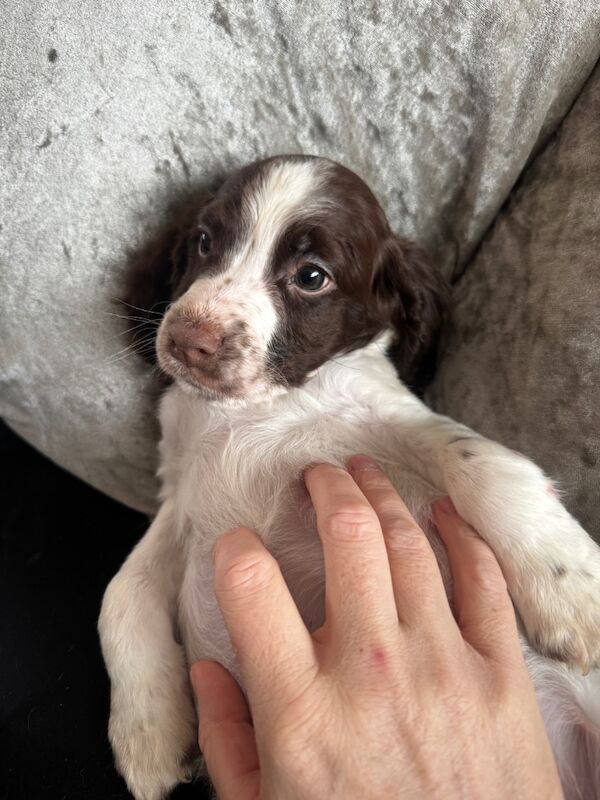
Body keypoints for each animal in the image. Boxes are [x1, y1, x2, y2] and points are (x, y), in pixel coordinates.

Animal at [98, 156, 600, 800]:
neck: (258, 407)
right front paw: (148, 729)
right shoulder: (182, 495)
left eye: (312, 276)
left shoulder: (396, 421)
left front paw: (572, 589)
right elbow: (122, 593)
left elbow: (488, 463)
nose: (188, 340)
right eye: (205, 241)